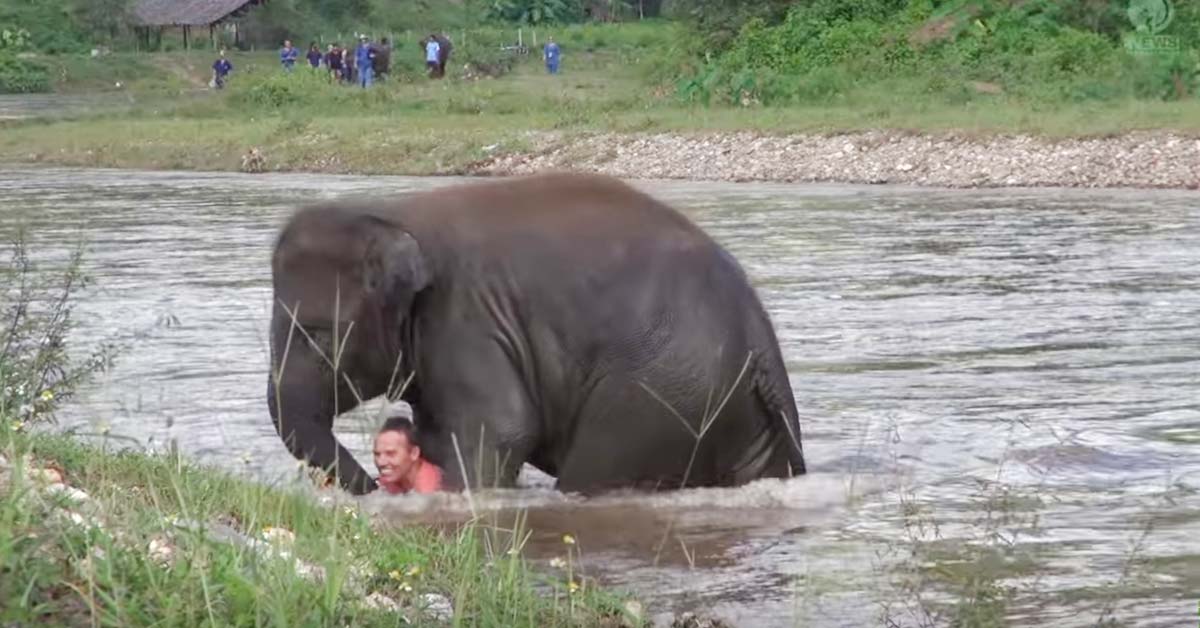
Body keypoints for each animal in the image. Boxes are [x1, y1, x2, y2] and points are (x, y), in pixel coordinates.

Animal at [264, 172, 806, 497]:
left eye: (319, 336)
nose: (376, 486)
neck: (393, 213)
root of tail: (759, 335)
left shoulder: (466, 320)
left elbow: (499, 428)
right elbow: (441, 434)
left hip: (659, 395)